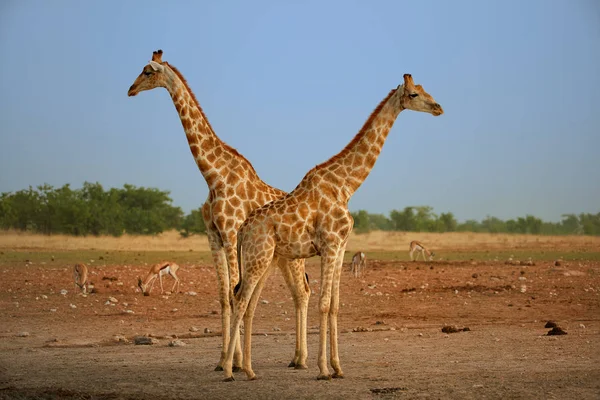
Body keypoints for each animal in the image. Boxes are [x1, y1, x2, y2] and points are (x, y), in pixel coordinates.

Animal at [128, 50, 312, 372]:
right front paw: (220, 361)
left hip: (292, 257)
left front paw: (234, 362)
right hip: (280, 257)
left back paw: (301, 360)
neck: (213, 175)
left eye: (148, 71)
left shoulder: (230, 233)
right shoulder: (213, 237)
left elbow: (233, 292)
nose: (131, 89)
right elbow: (225, 296)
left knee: (302, 292)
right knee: (297, 293)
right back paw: (295, 358)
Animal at [223, 73, 442, 380]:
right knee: (241, 300)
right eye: (413, 94)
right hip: (258, 257)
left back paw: (250, 370)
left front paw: (338, 367)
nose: (438, 108)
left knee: (249, 303)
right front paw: (323, 369)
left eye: (424, 90)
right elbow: (324, 303)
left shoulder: (341, 247)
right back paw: (229, 371)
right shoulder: (329, 245)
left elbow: (336, 305)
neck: (346, 185)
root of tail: (243, 229)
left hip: (265, 259)